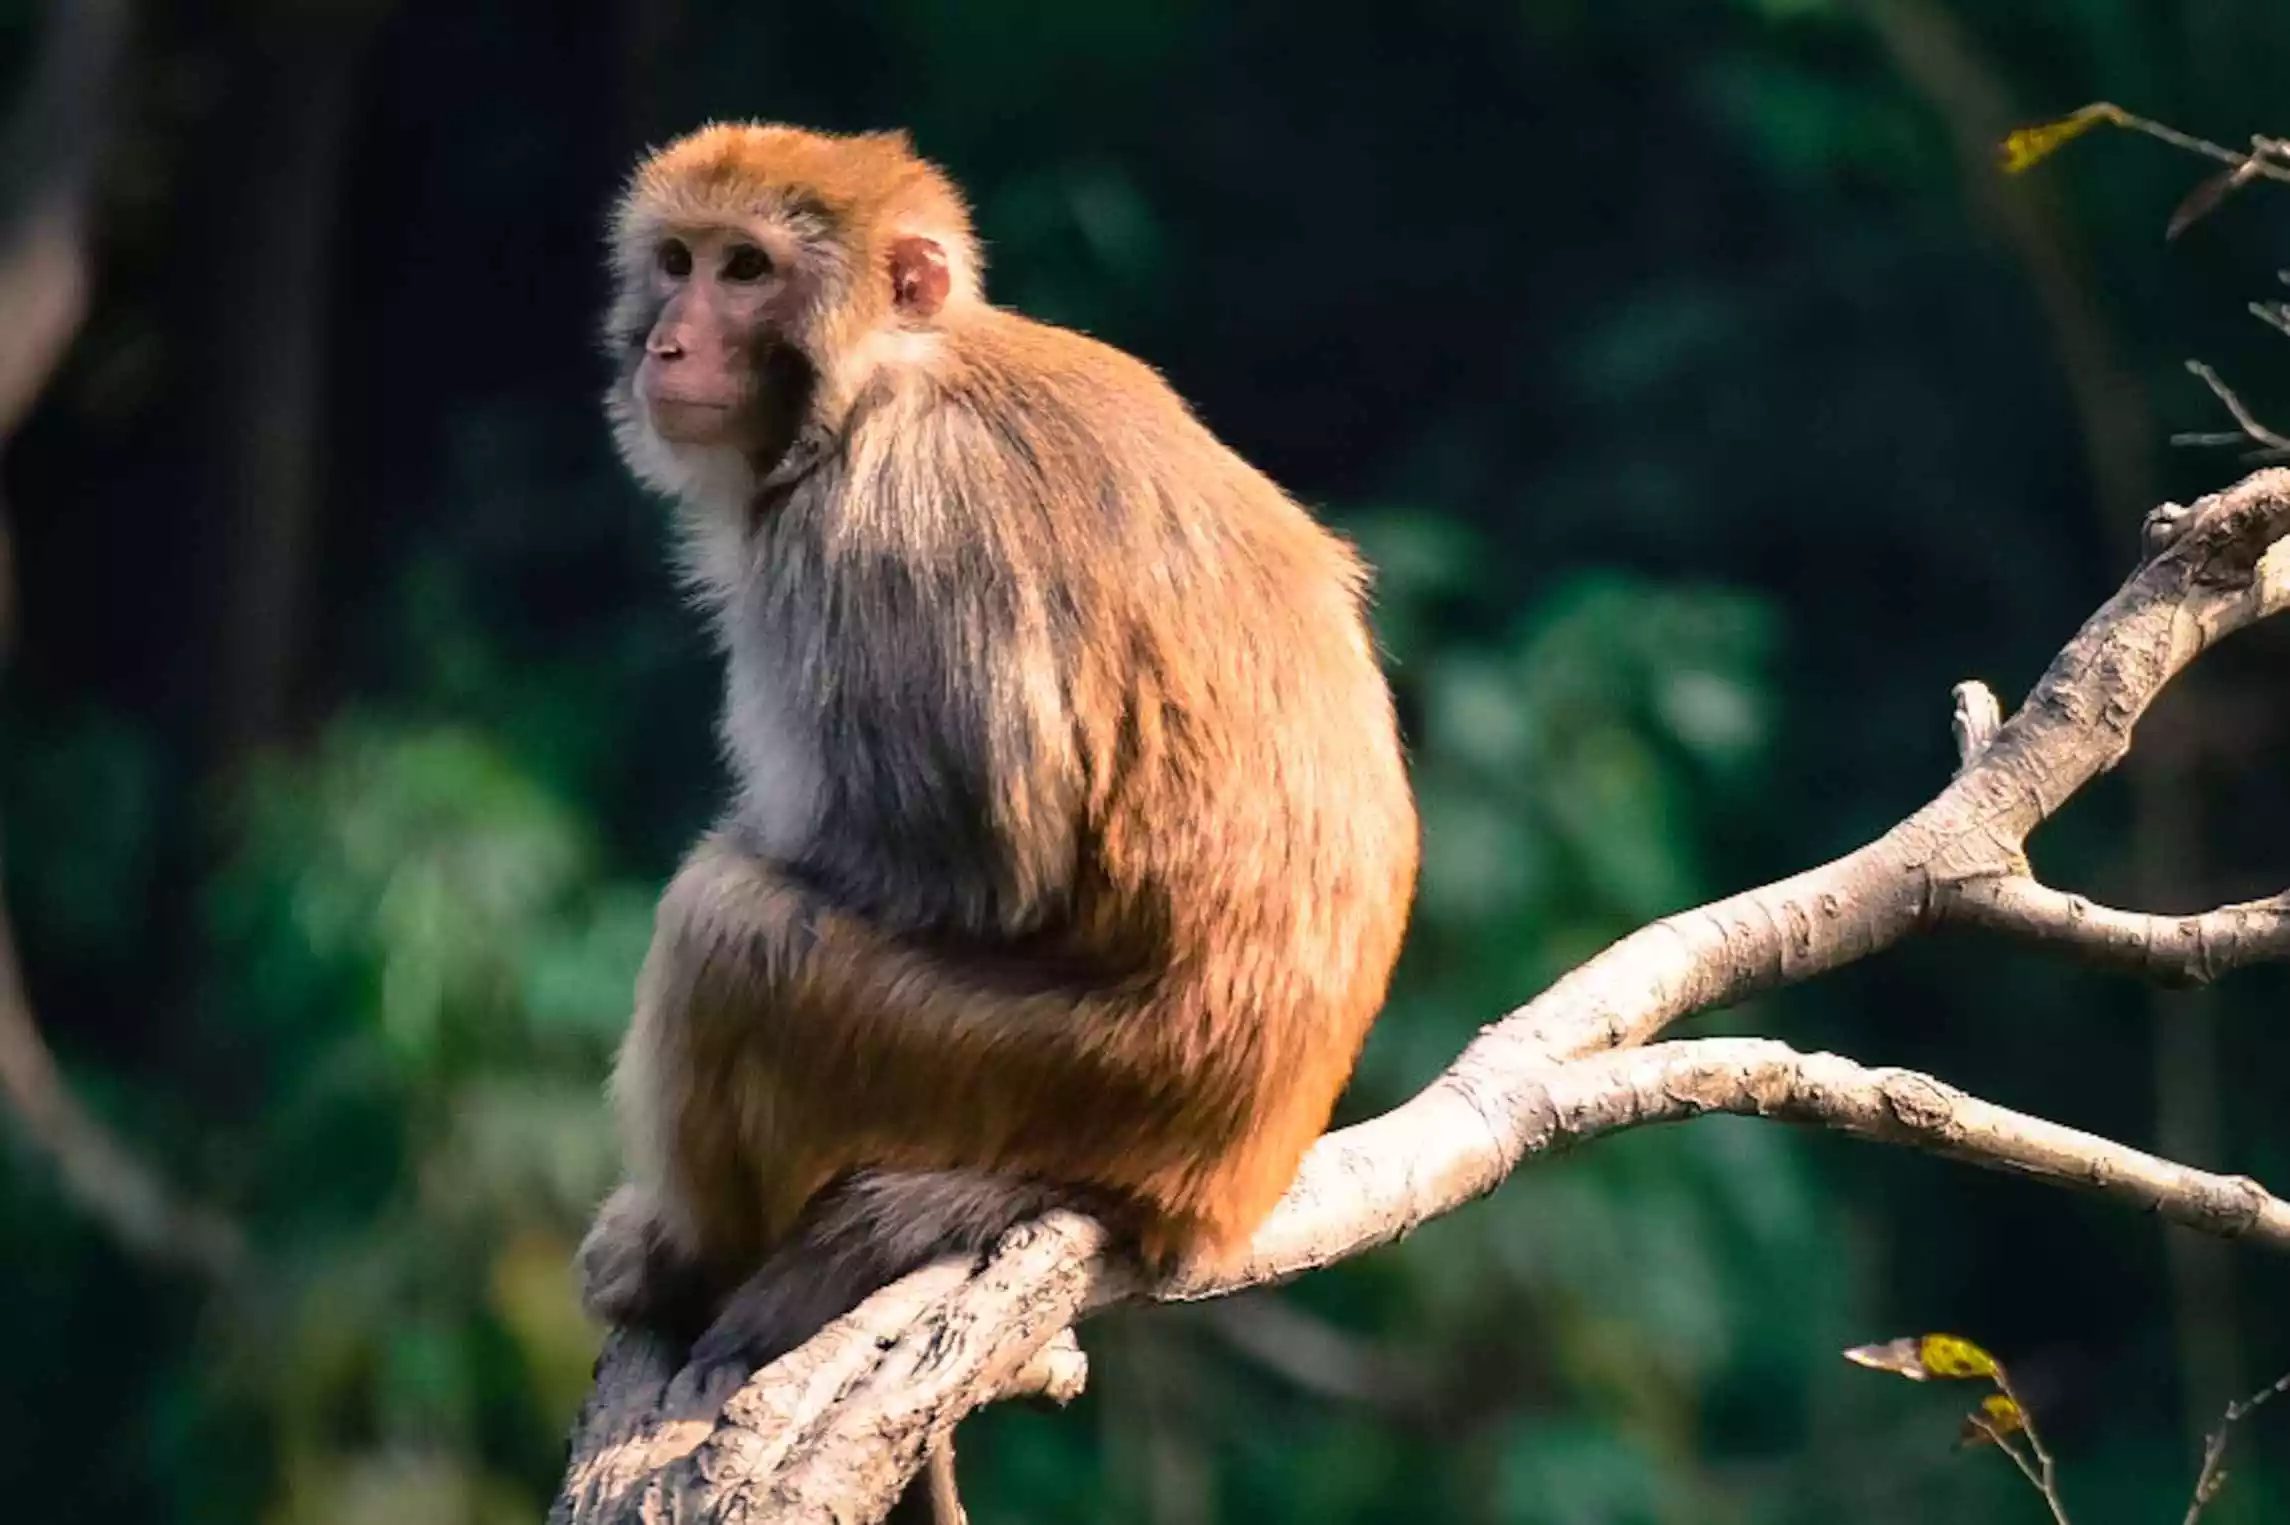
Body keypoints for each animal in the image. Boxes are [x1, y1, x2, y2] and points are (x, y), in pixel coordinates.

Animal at [577, 121, 1410, 1392]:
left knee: (732, 928)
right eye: (677, 261)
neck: (887, 378)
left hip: (1035, 1074)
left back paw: (695, 1256)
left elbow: (974, 868)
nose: (669, 342)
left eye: (747, 271)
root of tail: (1216, 1193)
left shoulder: (879, 530)